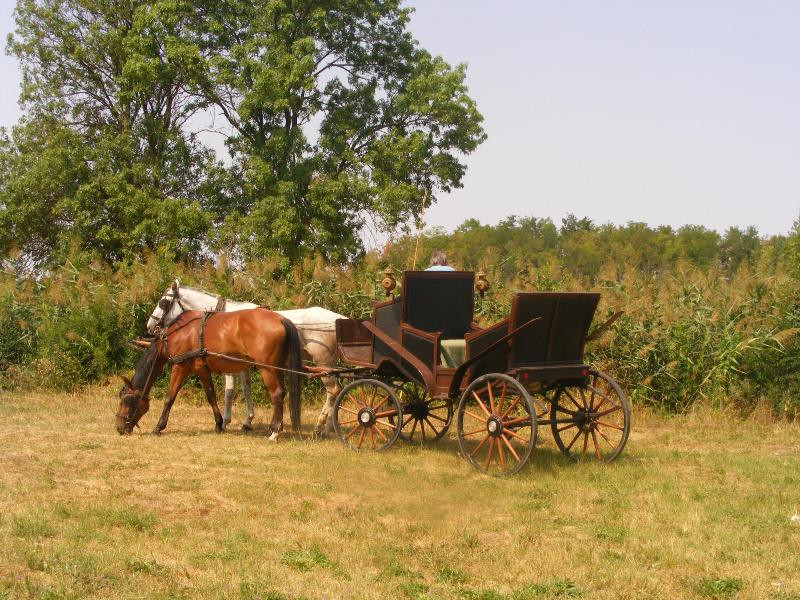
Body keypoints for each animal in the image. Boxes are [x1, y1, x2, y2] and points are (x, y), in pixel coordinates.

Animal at [119, 308, 304, 438]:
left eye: (125, 401)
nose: (119, 428)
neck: (177, 334)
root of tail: (281, 318)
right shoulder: (201, 369)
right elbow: (211, 396)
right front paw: (218, 424)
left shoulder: (180, 368)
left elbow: (169, 398)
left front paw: (158, 427)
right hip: (277, 368)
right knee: (282, 393)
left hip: (267, 368)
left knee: (277, 394)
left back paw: (274, 431)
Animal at [146, 278, 344, 434]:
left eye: (163, 302)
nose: (150, 326)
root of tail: (338, 319)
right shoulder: (244, 365)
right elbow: (246, 388)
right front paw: (247, 421)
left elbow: (229, 391)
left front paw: (226, 422)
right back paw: (328, 426)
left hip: (323, 363)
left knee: (333, 391)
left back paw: (322, 426)